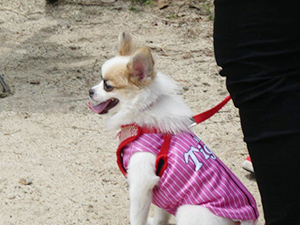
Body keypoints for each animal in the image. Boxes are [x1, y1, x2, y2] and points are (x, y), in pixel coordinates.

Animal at [88, 32, 258, 225]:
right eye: (100, 80)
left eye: (107, 85)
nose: (90, 91)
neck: (142, 110)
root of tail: (246, 218)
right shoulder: (163, 190)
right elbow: (162, 214)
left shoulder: (141, 183)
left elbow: (137, 217)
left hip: (187, 210)